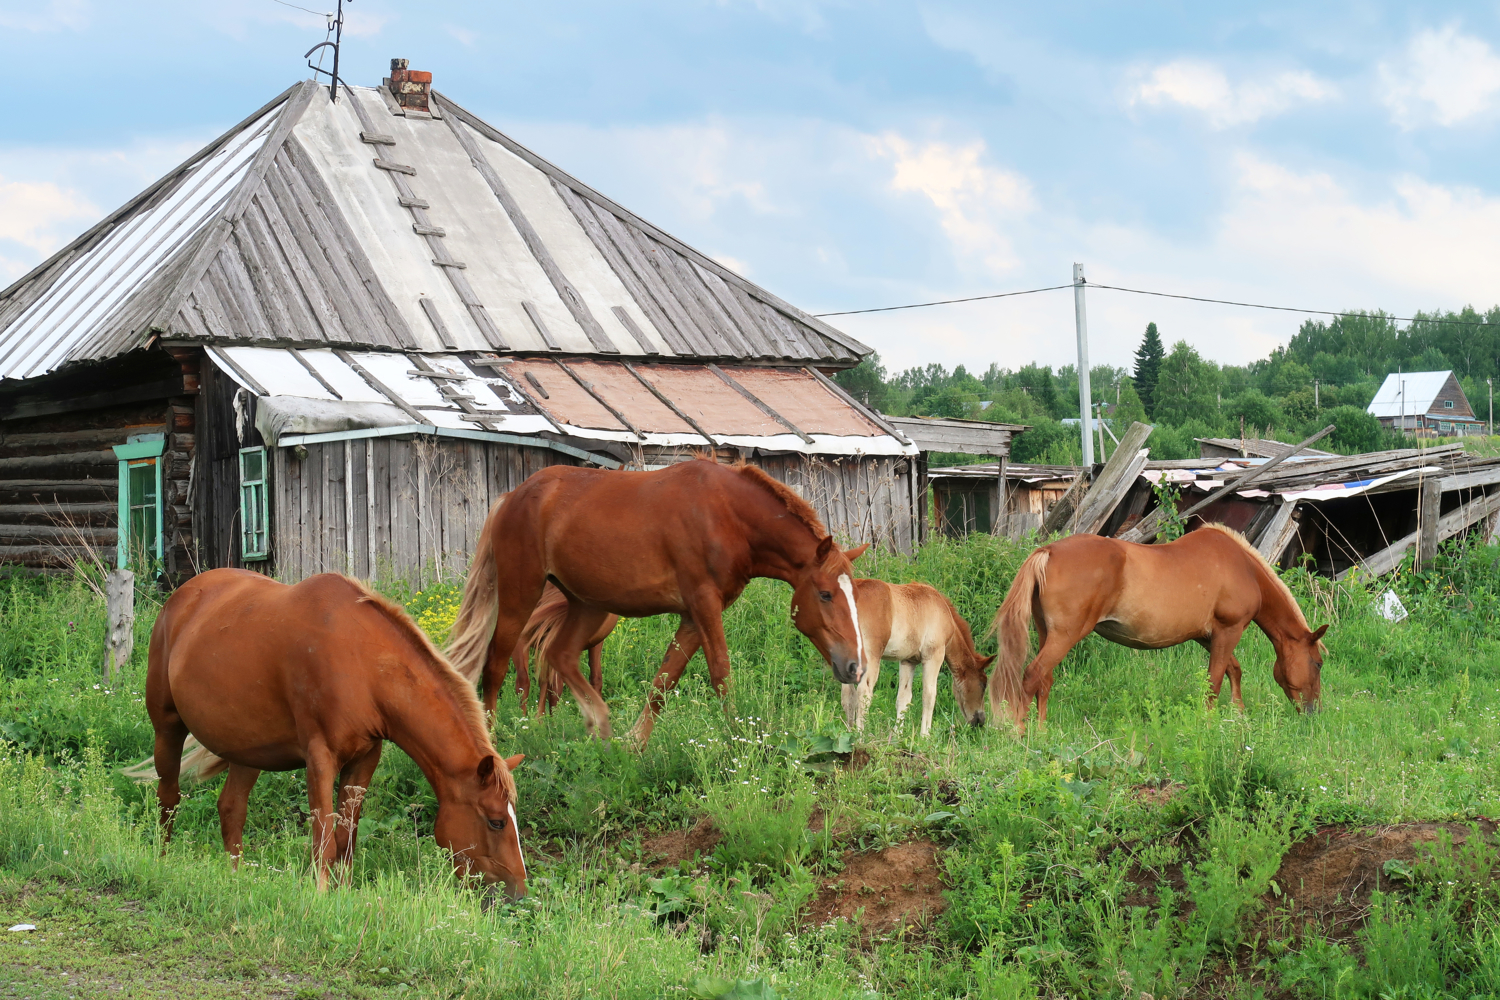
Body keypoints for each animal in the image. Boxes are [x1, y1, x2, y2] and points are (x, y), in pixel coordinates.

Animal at [141, 569, 528, 899]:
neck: (362, 663)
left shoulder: (364, 760)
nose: (519, 892)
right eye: (496, 822)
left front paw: (342, 894)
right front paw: (321, 896)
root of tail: (181, 597)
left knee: (231, 809)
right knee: (168, 799)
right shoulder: (320, 759)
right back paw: (162, 860)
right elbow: (324, 841)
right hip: (167, 728)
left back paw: (235, 878)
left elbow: (345, 839)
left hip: (248, 751)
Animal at [444, 461, 870, 743]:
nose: (855, 667)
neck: (726, 513)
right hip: (521, 594)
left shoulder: (695, 615)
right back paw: (493, 742)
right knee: (495, 667)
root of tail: (512, 497)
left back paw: (600, 726)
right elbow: (721, 673)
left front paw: (635, 744)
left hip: (587, 605)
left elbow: (664, 681)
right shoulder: (703, 604)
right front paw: (736, 739)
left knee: (560, 654)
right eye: (825, 594)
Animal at [846, 581, 996, 740]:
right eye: (983, 684)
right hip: (870, 657)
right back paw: (859, 736)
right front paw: (925, 735)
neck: (943, 613)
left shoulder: (907, 660)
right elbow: (929, 696)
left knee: (848, 695)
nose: (980, 720)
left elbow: (903, 698)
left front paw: (897, 735)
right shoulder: (934, 656)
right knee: (864, 692)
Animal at [990, 527, 1332, 731]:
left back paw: (1041, 731)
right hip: (1065, 636)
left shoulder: (1208, 637)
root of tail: (1048, 551)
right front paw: (1210, 723)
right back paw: (1019, 734)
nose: (1315, 713)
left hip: (1047, 634)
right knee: (1032, 676)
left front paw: (1237, 713)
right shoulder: (1229, 630)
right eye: (1317, 664)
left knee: (1044, 680)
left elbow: (1232, 670)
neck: (1243, 568)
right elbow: (1215, 681)